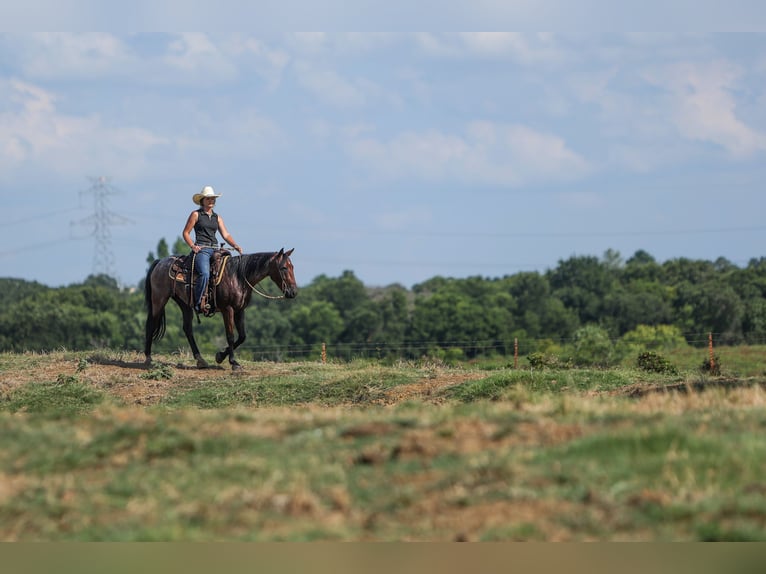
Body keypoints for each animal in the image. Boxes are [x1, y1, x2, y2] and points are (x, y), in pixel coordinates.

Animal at [144, 250, 296, 372]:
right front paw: (233, 363)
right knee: (151, 324)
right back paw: (148, 358)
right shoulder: (227, 309)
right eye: (283, 267)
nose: (293, 292)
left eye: (292, 267)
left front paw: (220, 356)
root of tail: (160, 262)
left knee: (187, 329)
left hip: (184, 304)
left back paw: (200, 360)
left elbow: (242, 336)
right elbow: (230, 335)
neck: (238, 277)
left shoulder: (240, 310)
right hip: (159, 299)